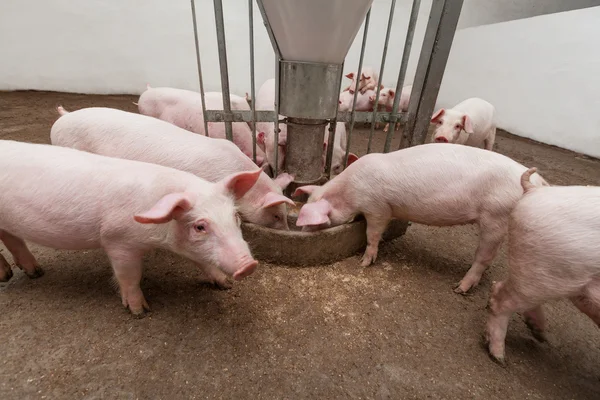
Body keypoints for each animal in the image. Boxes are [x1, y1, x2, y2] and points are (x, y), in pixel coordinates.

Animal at [0, 141, 262, 316]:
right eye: (200, 226)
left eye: (235, 216)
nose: (248, 265)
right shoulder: (117, 241)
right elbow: (129, 275)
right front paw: (140, 311)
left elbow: (201, 261)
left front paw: (224, 285)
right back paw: (9, 276)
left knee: (12, 238)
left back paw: (35, 272)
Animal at [294, 142, 548, 292]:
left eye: (315, 222)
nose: (301, 232)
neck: (350, 191)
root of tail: (538, 184)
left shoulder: (378, 208)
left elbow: (373, 233)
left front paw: (365, 262)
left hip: (496, 217)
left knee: (484, 256)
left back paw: (459, 288)